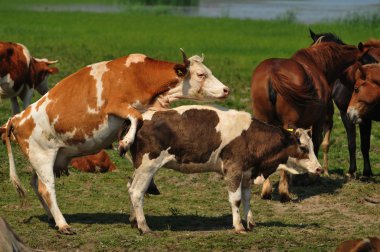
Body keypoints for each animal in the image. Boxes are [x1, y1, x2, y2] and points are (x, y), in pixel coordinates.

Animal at [2, 49, 229, 234]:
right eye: (201, 74)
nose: (226, 89)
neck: (138, 75)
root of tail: (17, 118)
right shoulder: (118, 107)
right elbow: (135, 118)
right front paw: (125, 144)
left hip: (44, 159)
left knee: (35, 183)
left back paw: (51, 218)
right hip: (42, 157)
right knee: (46, 188)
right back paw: (63, 224)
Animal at [127, 105, 320, 234]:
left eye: (311, 145)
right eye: (303, 147)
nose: (319, 169)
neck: (251, 137)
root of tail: (142, 118)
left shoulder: (247, 173)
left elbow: (247, 199)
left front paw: (251, 223)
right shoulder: (233, 170)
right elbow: (236, 199)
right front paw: (239, 226)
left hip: (140, 168)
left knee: (131, 187)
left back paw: (134, 221)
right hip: (148, 166)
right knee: (137, 192)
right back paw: (144, 227)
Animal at [251, 39, 364, 201]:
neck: (317, 63)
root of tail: (273, 74)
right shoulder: (318, 121)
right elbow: (315, 143)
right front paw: (312, 176)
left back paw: (267, 190)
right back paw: (284, 192)